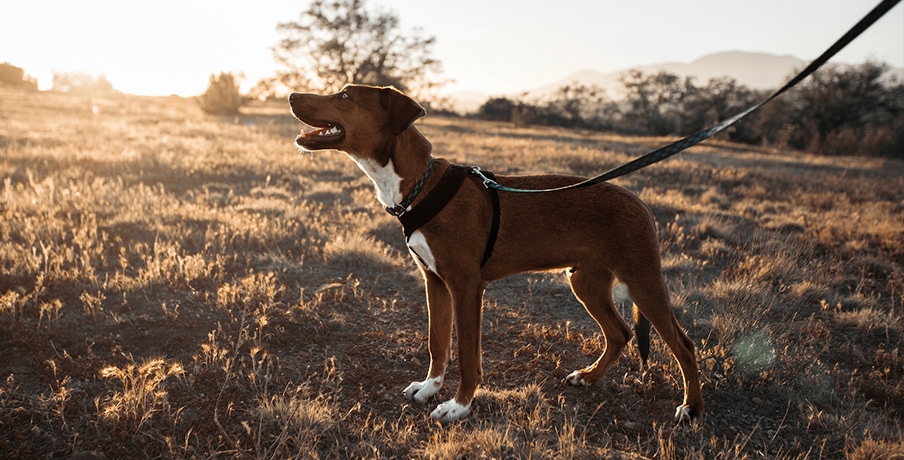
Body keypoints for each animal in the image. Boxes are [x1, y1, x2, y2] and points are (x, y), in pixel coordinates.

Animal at [286, 84, 704, 422]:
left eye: (344, 95)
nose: (290, 95)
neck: (419, 184)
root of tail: (639, 202)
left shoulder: (467, 287)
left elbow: (468, 356)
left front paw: (459, 406)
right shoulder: (435, 281)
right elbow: (437, 343)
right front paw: (429, 388)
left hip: (642, 279)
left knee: (683, 345)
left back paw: (691, 409)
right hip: (586, 282)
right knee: (619, 333)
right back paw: (589, 377)